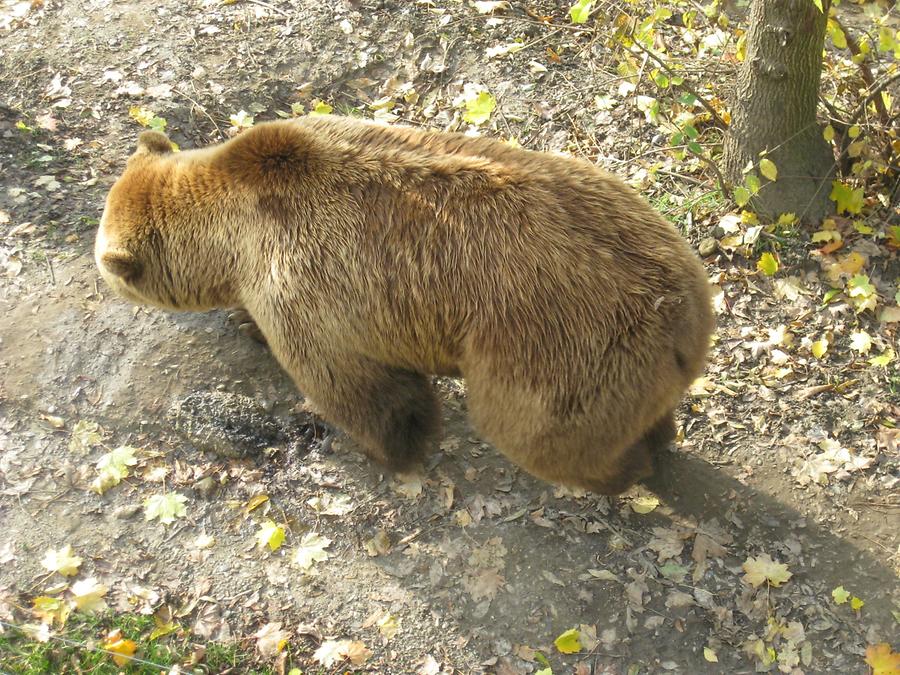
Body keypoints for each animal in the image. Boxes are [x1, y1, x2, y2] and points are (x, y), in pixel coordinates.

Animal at [95, 116, 712, 496]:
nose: (102, 270)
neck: (230, 237)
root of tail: (686, 314)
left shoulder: (303, 285)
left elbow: (363, 388)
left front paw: (385, 449)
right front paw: (242, 321)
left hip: (554, 351)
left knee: (534, 434)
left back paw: (624, 471)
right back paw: (659, 437)